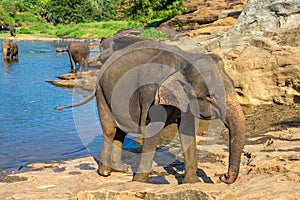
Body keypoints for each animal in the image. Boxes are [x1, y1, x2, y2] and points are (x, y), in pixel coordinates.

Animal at [57, 39, 245, 184]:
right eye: (210, 96)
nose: (223, 176)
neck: (185, 59)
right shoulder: (151, 94)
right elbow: (153, 134)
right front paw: (139, 182)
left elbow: (187, 132)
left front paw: (192, 183)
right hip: (102, 93)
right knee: (110, 130)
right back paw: (105, 173)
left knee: (121, 131)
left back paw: (121, 169)